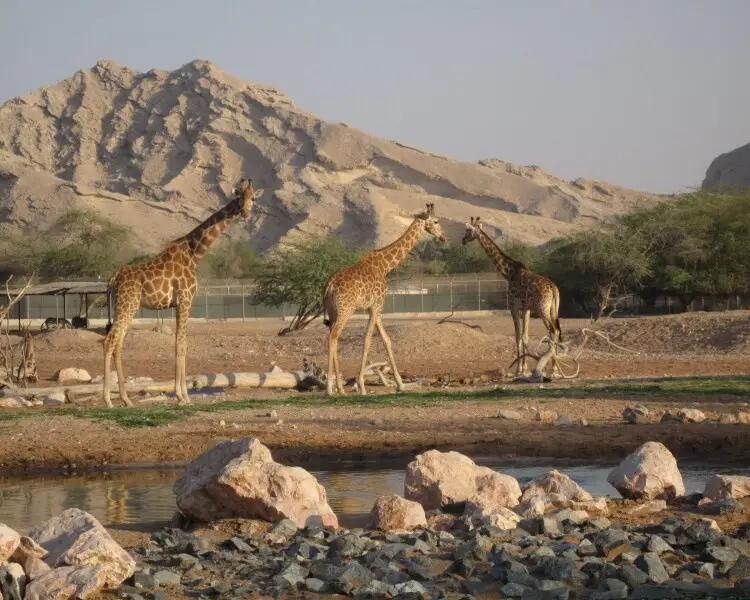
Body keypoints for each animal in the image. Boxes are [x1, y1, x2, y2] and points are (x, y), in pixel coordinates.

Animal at [102, 178, 264, 408]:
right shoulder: (186, 299)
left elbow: (180, 343)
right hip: (127, 304)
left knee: (118, 343)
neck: (194, 254)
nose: (245, 213)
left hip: (125, 306)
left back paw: (126, 399)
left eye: (254, 198)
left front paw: (183, 394)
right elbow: (181, 344)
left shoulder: (179, 303)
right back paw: (108, 399)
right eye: (239, 197)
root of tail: (114, 277)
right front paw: (183, 396)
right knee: (109, 341)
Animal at [322, 203, 448, 395]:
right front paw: (362, 386)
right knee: (334, 335)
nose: (444, 237)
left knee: (333, 336)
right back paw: (330, 388)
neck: (385, 266)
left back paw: (341, 389)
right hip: (346, 309)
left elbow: (387, 340)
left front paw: (400, 384)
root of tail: (330, 285)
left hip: (333, 311)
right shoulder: (377, 305)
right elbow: (367, 340)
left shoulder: (375, 308)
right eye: (436, 221)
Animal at [462, 217, 563, 376]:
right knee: (557, 330)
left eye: (468, 231)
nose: (463, 240)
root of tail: (554, 289)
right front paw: (524, 368)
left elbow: (517, 337)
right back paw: (555, 366)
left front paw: (518, 369)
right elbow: (524, 337)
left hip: (543, 309)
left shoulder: (513, 307)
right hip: (553, 309)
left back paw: (553, 368)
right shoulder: (526, 309)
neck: (508, 272)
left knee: (554, 330)